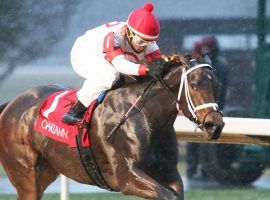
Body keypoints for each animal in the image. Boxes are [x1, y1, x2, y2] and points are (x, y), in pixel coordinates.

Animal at [0, 52, 224, 199]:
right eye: (194, 85)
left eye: (217, 84)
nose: (215, 125)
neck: (145, 115)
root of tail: (11, 104)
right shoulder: (127, 176)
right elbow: (166, 195)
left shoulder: (168, 171)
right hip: (25, 175)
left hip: (46, 171)